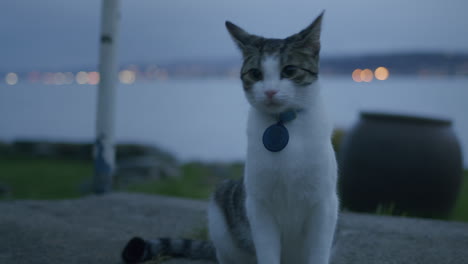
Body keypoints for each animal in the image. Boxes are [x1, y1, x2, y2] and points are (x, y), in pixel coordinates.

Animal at [122, 11, 338, 264]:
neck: (284, 124)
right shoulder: (258, 205)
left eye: (289, 70)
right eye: (256, 74)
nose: (270, 91)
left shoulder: (325, 205)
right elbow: (267, 250)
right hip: (221, 215)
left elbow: (318, 250)